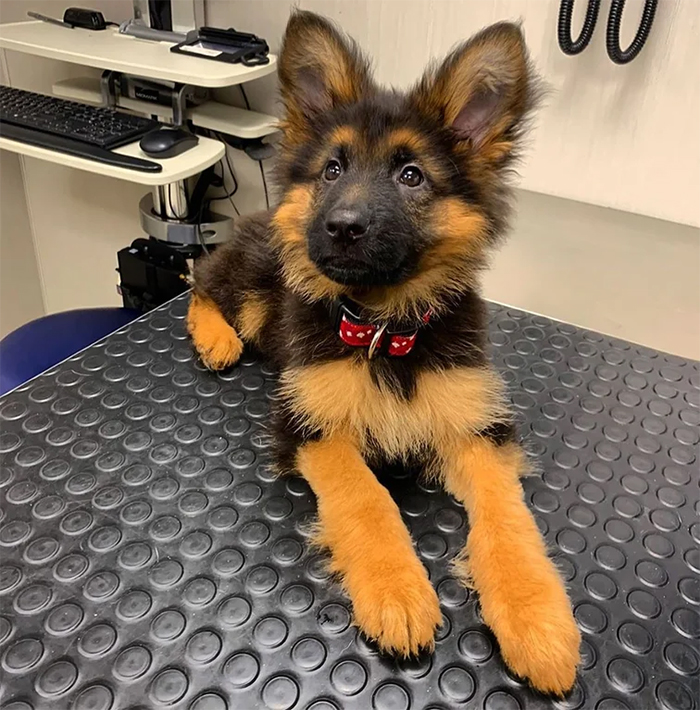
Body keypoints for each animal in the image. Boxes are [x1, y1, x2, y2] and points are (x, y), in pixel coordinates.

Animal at [186, 9, 580, 696]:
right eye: (332, 169)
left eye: (411, 174)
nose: (341, 226)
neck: (383, 327)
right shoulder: (310, 424)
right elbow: (366, 499)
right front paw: (396, 591)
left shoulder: (478, 430)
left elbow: (510, 521)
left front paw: (538, 619)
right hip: (258, 287)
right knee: (201, 281)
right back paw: (216, 338)